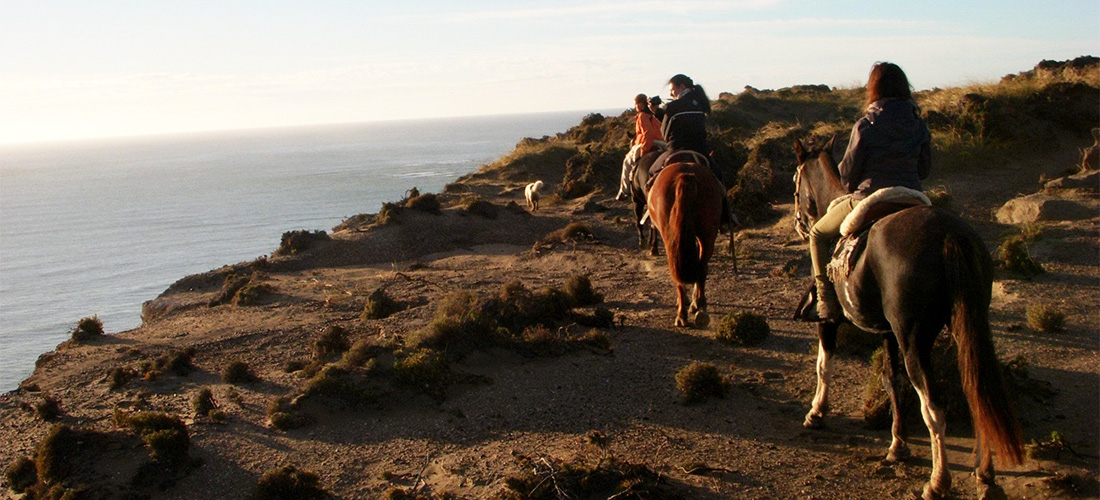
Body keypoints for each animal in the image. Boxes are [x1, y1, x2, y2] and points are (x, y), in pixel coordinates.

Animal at [646, 160, 726, 331]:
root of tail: (685, 175)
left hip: (671, 237)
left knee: (681, 274)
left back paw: (685, 313)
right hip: (707, 235)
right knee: (701, 268)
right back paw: (698, 310)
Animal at [792, 139, 1020, 500]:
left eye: (796, 183)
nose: (799, 223)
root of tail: (950, 235)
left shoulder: (830, 323)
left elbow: (824, 365)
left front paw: (817, 412)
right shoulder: (888, 332)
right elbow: (891, 380)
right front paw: (898, 444)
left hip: (915, 340)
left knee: (934, 408)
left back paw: (938, 482)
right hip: (964, 327)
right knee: (975, 392)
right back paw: (985, 475)